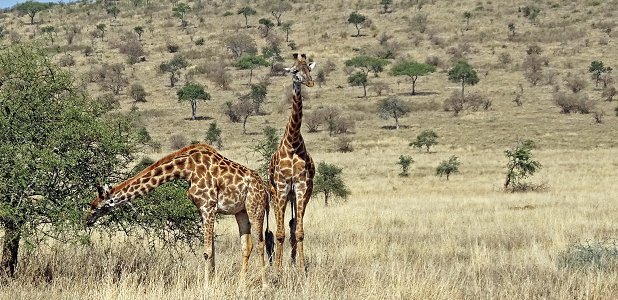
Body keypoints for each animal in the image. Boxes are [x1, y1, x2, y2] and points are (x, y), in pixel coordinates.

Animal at [85, 144, 272, 290]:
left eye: (96, 208)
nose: (87, 221)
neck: (186, 168)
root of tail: (265, 187)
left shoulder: (208, 206)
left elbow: (207, 251)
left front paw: (206, 287)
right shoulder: (202, 210)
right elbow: (211, 250)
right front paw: (212, 284)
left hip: (255, 207)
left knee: (260, 243)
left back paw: (265, 285)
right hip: (241, 211)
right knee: (247, 245)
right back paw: (241, 285)